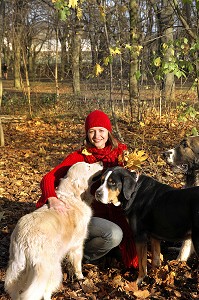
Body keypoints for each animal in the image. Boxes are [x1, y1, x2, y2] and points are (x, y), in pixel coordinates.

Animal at [4, 162, 102, 300]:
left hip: (17, 269)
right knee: (45, 291)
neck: (72, 195)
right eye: (88, 166)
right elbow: (77, 265)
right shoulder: (77, 245)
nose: (101, 162)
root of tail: (24, 242)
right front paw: (81, 278)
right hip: (51, 269)